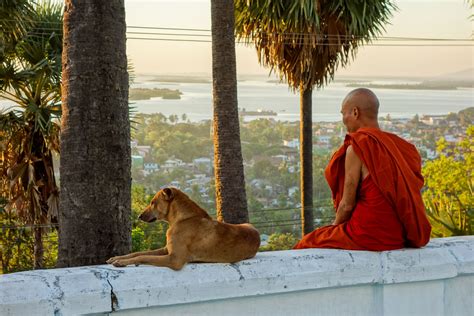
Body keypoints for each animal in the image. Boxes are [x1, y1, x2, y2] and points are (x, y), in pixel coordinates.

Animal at [106, 186, 260, 270]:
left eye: (153, 202)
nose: (138, 216)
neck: (184, 218)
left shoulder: (174, 259)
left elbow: (143, 256)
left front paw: (121, 262)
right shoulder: (166, 249)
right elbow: (138, 253)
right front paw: (117, 258)